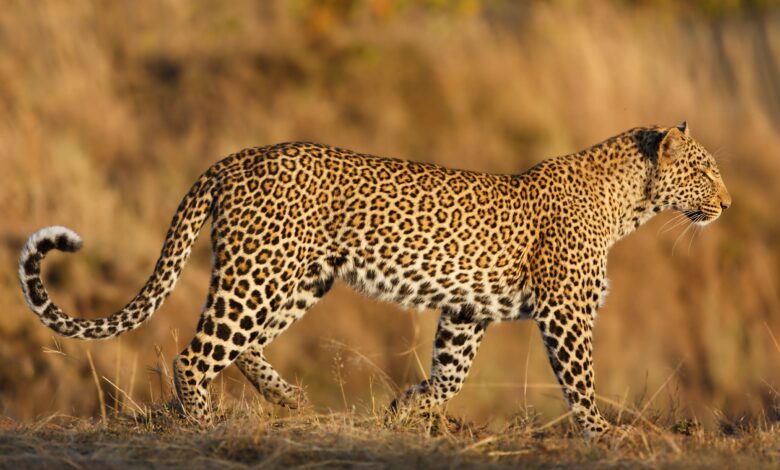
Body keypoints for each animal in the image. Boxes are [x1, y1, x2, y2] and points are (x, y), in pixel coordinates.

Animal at [16, 121, 732, 436]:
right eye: (704, 172)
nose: (725, 204)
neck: (630, 206)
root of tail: (237, 157)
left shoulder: (466, 310)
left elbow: (451, 373)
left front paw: (406, 408)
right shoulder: (566, 313)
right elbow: (580, 382)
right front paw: (603, 436)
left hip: (299, 277)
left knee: (240, 345)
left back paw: (289, 400)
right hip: (263, 271)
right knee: (196, 353)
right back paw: (202, 422)